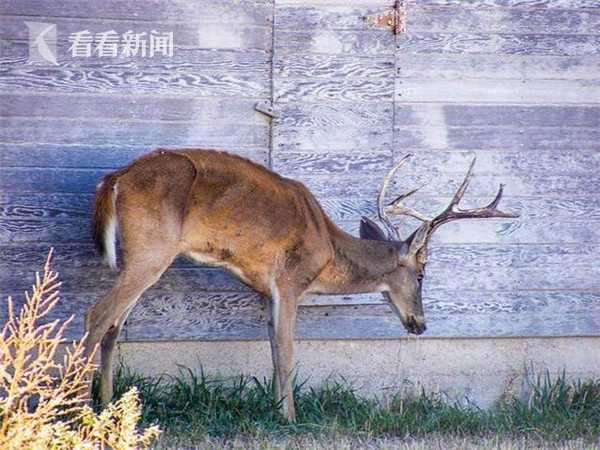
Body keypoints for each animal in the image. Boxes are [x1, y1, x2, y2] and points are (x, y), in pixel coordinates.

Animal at [86, 149, 516, 422]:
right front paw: (291, 417)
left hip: (140, 255)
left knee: (114, 326)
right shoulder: (290, 281)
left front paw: (276, 411)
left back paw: (109, 406)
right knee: (97, 314)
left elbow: (275, 350)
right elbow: (289, 351)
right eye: (423, 274)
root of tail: (113, 180)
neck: (327, 249)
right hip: (152, 249)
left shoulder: (265, 292)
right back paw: (79, 406)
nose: (421, 325)